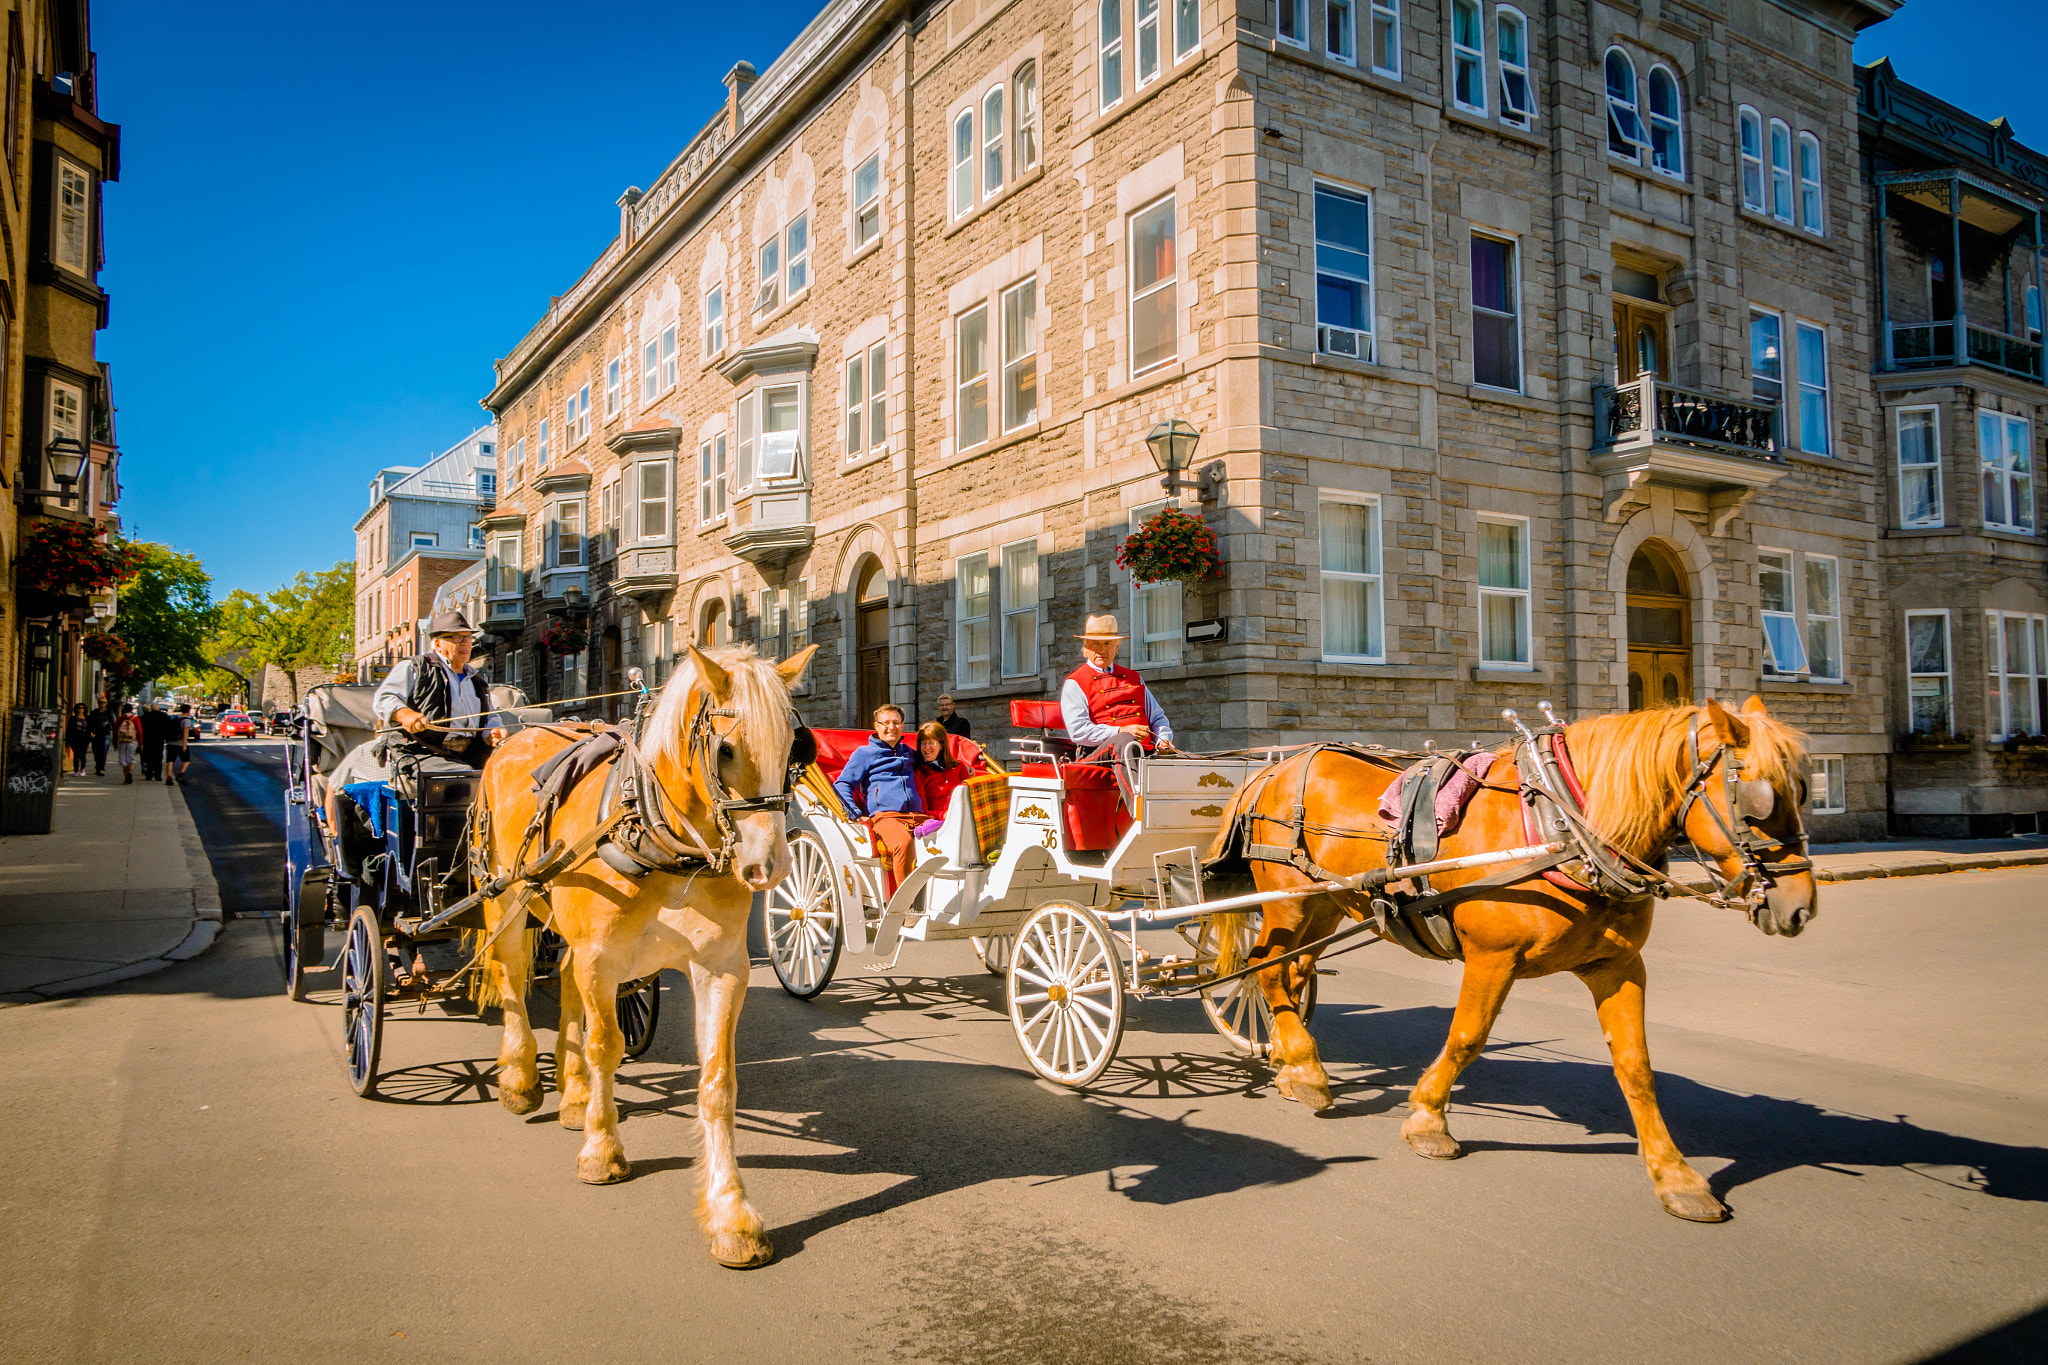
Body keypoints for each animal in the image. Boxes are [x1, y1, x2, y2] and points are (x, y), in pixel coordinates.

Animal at [475, 642, 811, 1268]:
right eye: (726, 749)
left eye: (795, 750)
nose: (769, 866)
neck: (660, 838)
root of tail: (514, 737)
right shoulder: (601, 958)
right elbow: (606, 1047)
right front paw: (601, 1148)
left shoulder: (721, 969)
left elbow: (718, 1082)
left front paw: (731, 1213)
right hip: (503, 897)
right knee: (512, 980)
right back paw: (521, 1079)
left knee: (562, 979)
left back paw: (572, 1094)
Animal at [1204, 699, 1818, 1219]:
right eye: (1757, 798)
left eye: (1805, 790)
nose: (1800, 906)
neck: (1562, 829)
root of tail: (1271, 770)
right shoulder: (1492, 959)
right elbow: (1467, 1038)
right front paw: (1427, 1121)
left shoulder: (1618, 967)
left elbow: (1636, 1067)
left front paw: (1677, 1177)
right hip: (1287, 897)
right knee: (1265, 968)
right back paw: (1306, 1070)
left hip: (1327, 903)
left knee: (1293, 972)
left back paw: (1288, 1062)